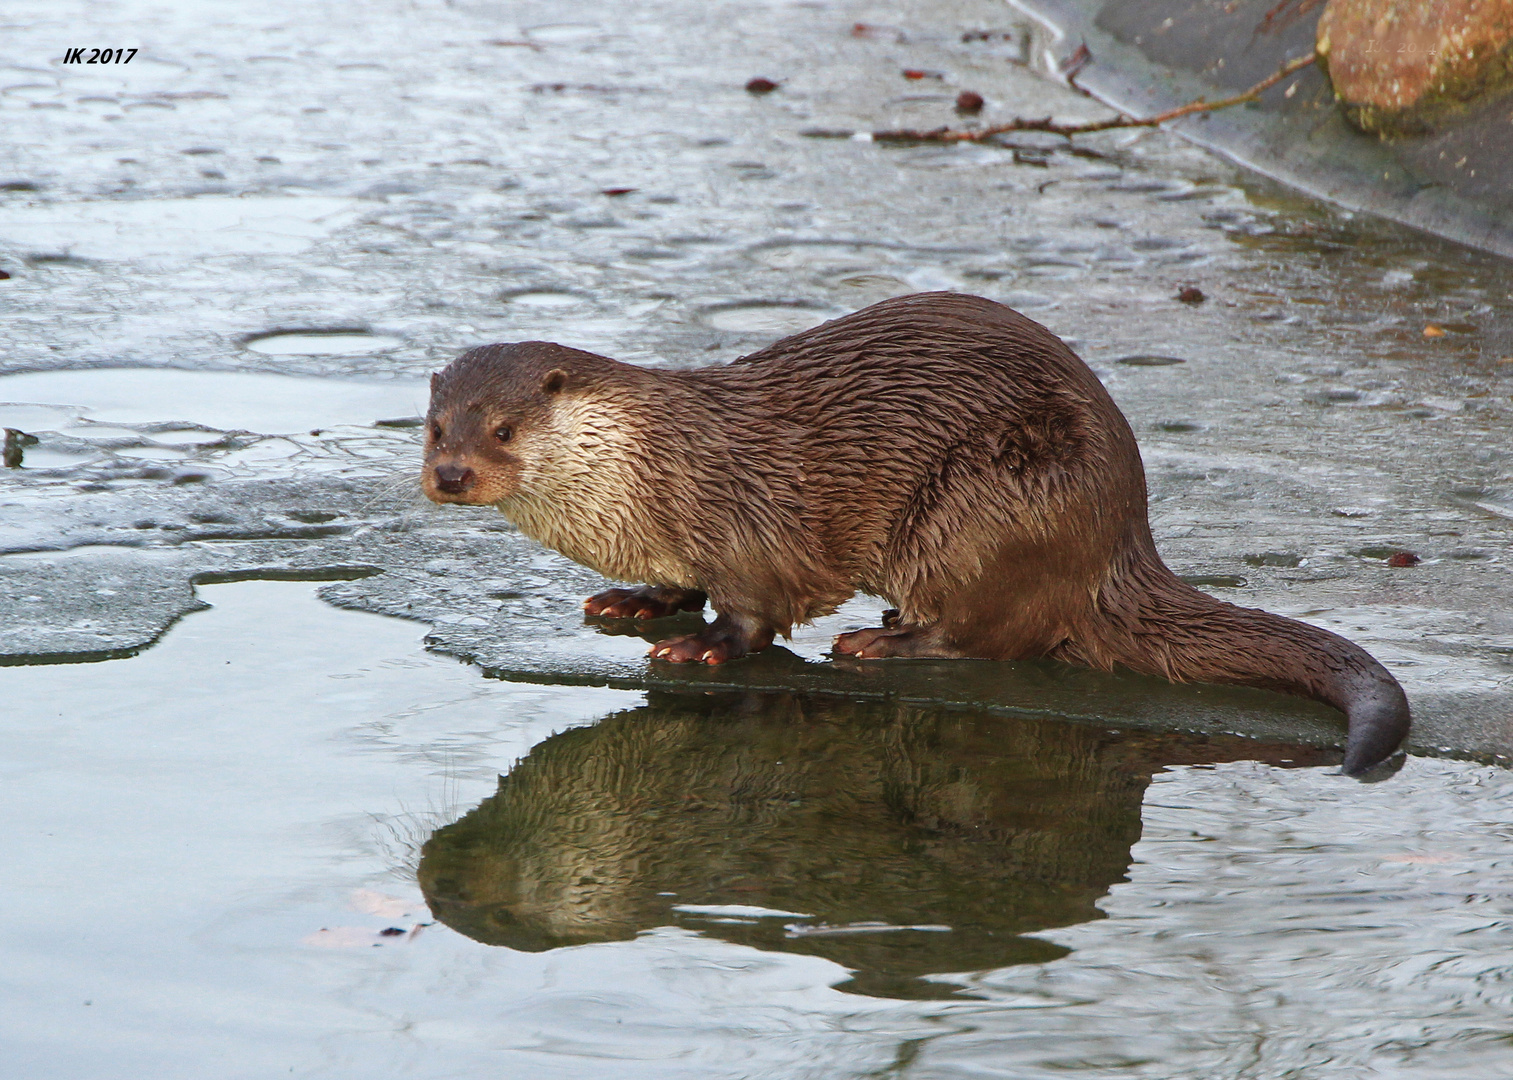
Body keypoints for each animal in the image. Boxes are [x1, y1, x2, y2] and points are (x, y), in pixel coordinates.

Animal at [423, 290, 1404, 768]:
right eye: (434, 426)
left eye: (502, 429)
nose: (450, 474)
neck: (643, 474)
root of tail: (1122, 536)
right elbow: (675, 582)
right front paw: (635, 601)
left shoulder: (743, 522)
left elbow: (754, 612)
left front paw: (701, 646)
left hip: (988, 501)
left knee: (989, 633)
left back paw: (884, 642)